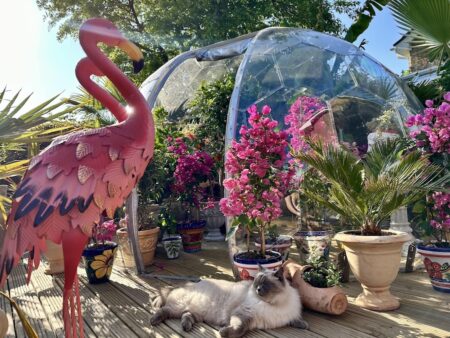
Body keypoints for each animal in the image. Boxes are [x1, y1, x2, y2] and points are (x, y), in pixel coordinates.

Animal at [149, 266, 308, 336]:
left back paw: (185, 327)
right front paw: (222, 332)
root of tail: (187, 284)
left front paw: (304, 325)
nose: (257, 290)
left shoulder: (285, 316)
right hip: (179, 306)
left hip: (196, 313)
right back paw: (154, 321)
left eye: (265, 285)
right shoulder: (243, 315)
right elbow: (239, 329)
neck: (274, 304)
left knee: (187, 315)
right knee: (164, 310)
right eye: (256, 283)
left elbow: (295, 320)